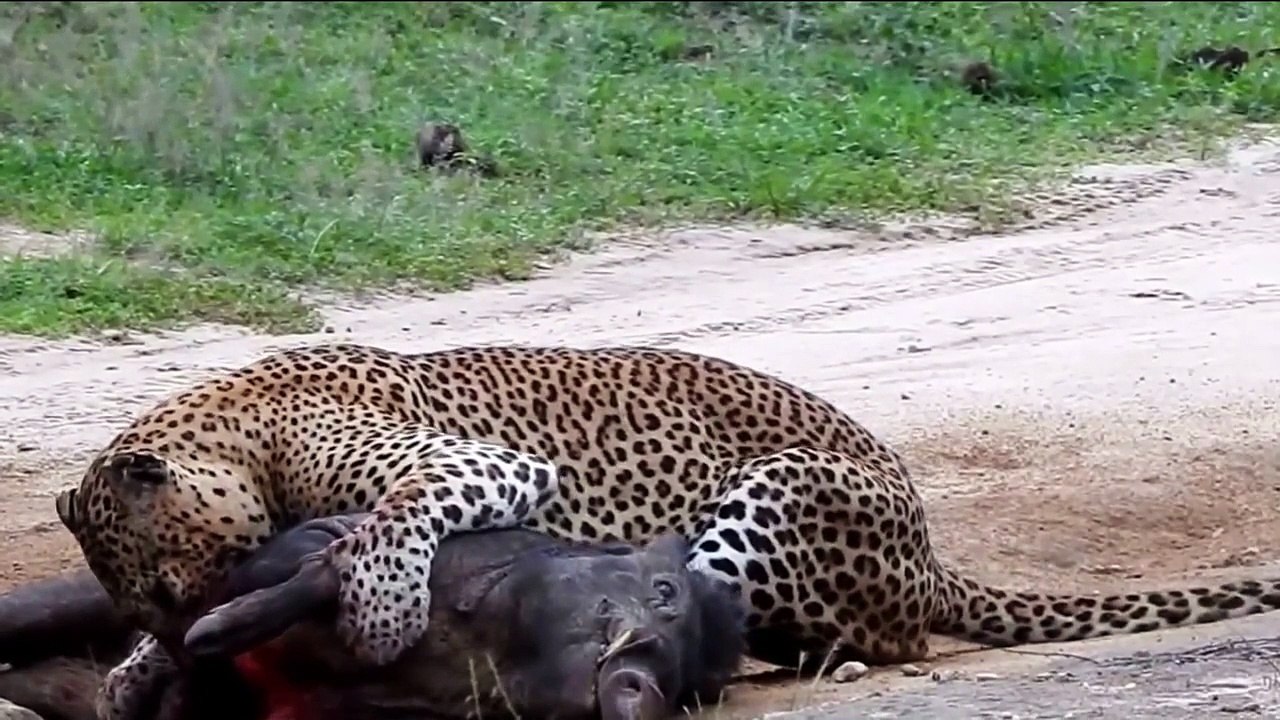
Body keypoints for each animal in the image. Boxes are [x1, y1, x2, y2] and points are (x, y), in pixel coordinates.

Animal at [54, 343, 1280, 720]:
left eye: (171, 577)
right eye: (144, 597)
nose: (179, 630)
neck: (237, 423)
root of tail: (930, 551)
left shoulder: (478, 465)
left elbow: (390, 526)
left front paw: (383, 609)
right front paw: (135, 672)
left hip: (769, 501)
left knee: (854, 637)